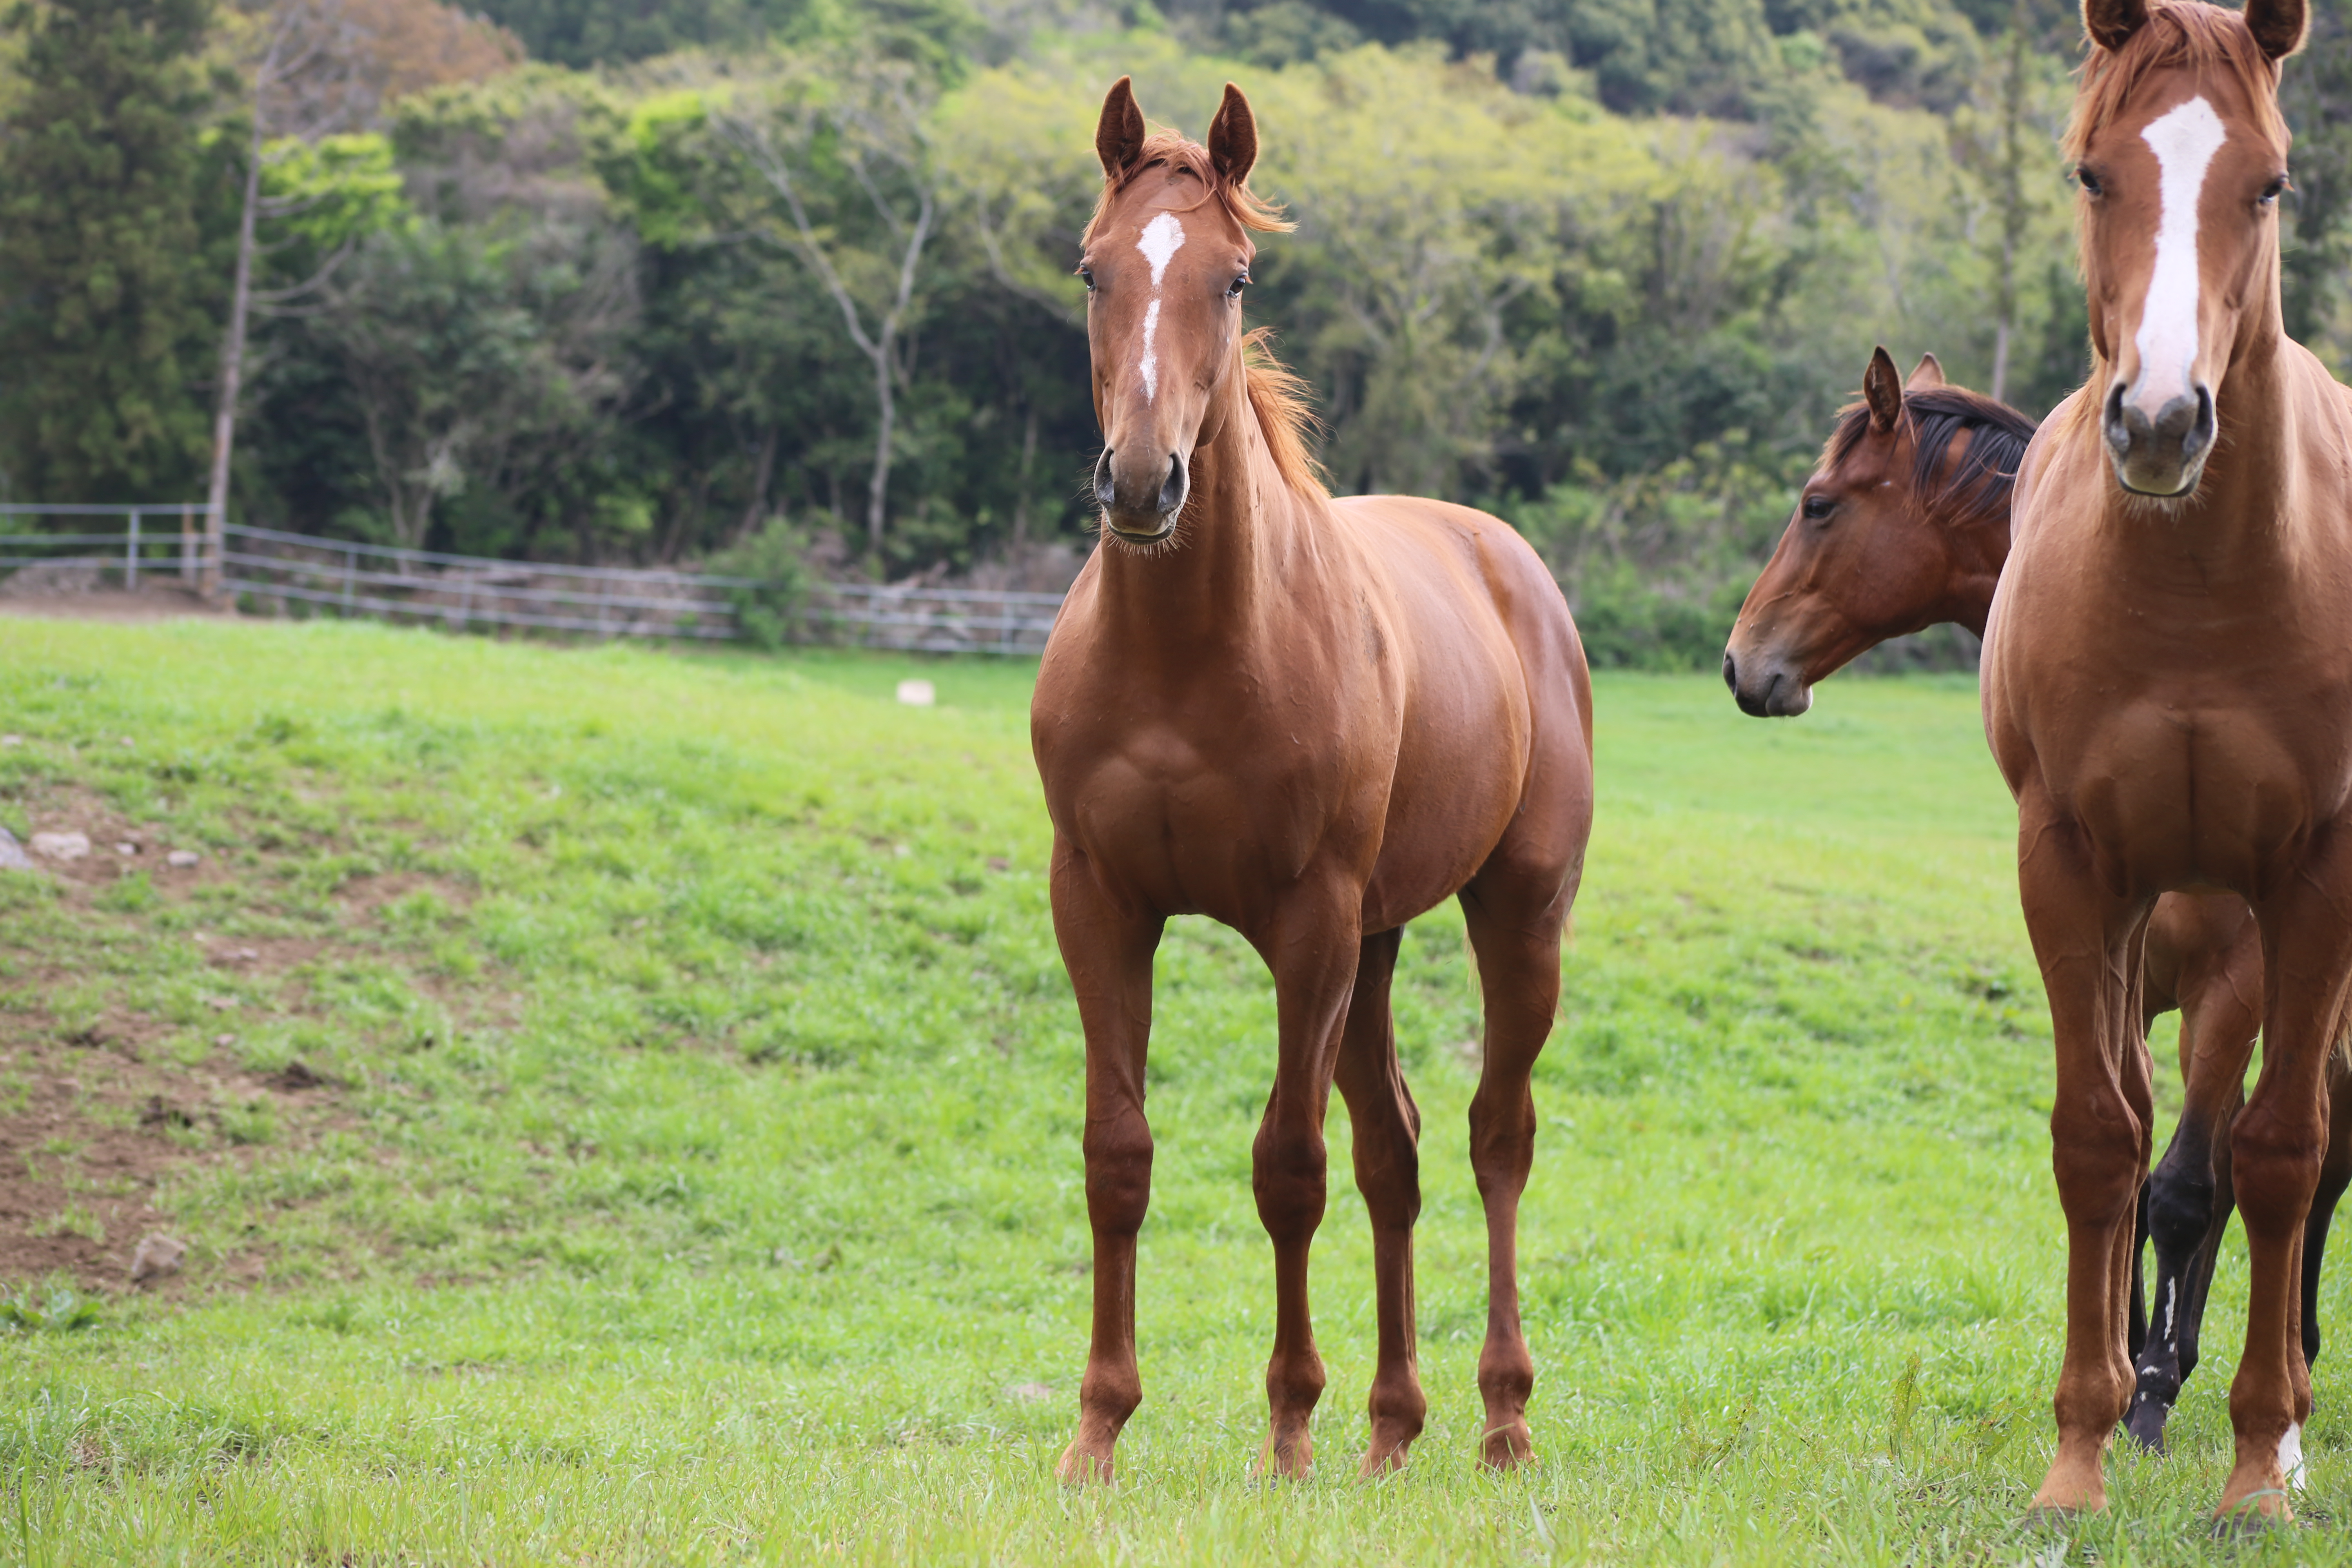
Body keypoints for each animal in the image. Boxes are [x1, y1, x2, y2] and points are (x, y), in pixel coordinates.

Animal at [1035, 82, 1599, 1486]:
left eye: (1233, 278)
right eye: (1093, 267)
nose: (1143, 480)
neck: (1187, 655)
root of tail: (1506, 556)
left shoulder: (1307, 920)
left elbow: (1288, 1166)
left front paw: (1287, 1429)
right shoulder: (1100, 904)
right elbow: (1117, 1155)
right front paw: (1097, 1431)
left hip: (1509, 919)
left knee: (1494, 1138)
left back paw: (1501, 1415)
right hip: (1378, 941)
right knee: (1394, 1148)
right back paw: (1393, 1427)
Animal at [1712, 350, 2352, 1457]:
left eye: (1817, 504)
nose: (1740, 662)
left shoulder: (2230, 983)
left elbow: (2188, 1184)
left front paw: (2150, 1391)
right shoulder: (2120, 966)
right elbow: (2130, 1144)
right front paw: (2124, 1356)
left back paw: (2285, 1372)